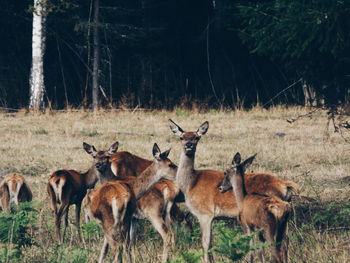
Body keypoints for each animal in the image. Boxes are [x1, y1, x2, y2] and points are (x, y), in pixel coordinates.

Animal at [168, 120, 300, 263]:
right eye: (181, 137)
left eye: (197, 137)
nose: (189, 145)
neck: (190, 184)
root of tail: (285, 186)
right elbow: (211, 243)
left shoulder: (205, 214)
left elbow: (205, 243)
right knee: (285, 240)